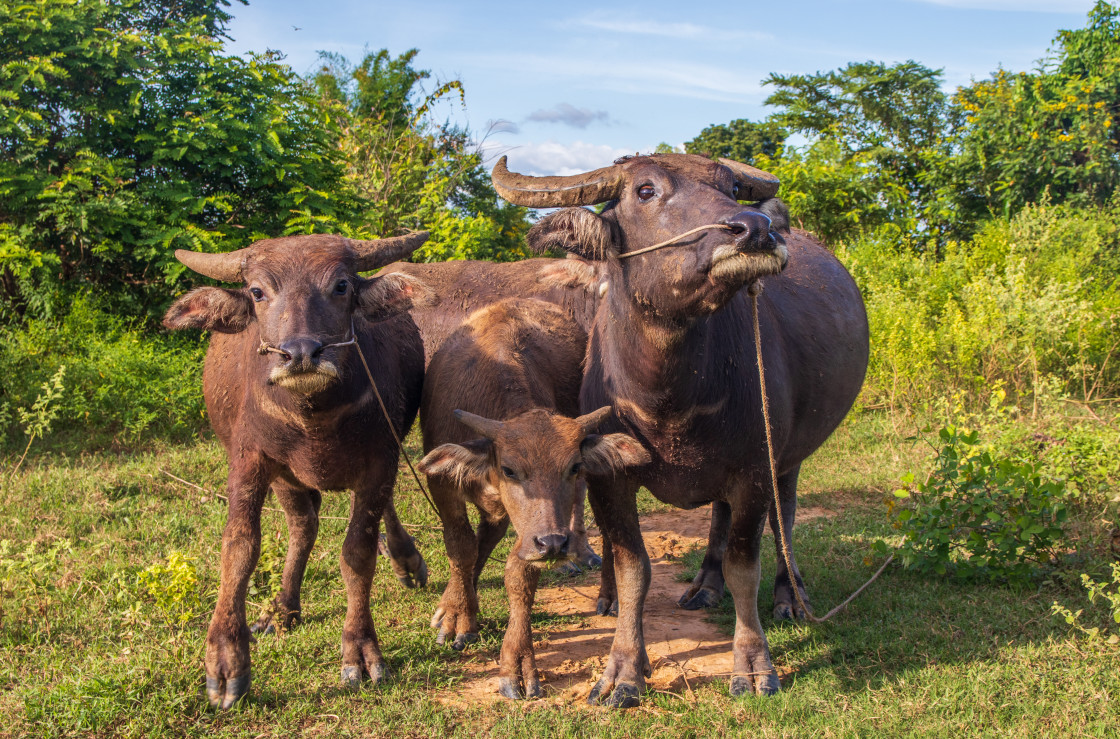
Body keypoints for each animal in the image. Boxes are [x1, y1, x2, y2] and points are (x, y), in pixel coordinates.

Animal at [162, 232, 432, 712]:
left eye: (341, 285)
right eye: (257, 291)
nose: (301, 354)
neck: (313, 416)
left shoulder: (380, 462)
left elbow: (357, 552)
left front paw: (359, 650)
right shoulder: (250, 462)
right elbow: (239, 549)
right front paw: (226, 662)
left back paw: (404, 559)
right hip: (285, 479)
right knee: (302, 525)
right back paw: (282, 609)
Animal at [418, 297, 654, 698]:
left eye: (572, 466)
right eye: (510, 469)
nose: (554, 544)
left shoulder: (534, 531)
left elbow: (520, 576)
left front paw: (515, 662)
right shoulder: (444, 485)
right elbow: (461, 547)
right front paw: (457, 614)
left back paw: (608, 592)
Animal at [495, 153, 869, 707]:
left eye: (730, 187)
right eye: (645, 190)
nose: (754, 229)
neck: (668, 400)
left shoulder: (754, 471)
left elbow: (745, 565)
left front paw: (754, 666)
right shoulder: (609, 480)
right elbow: (634, 571)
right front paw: (623, 672)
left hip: (788, 456)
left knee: (784, 518)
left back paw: (789, 596)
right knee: (718, 516)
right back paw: (704, 586)